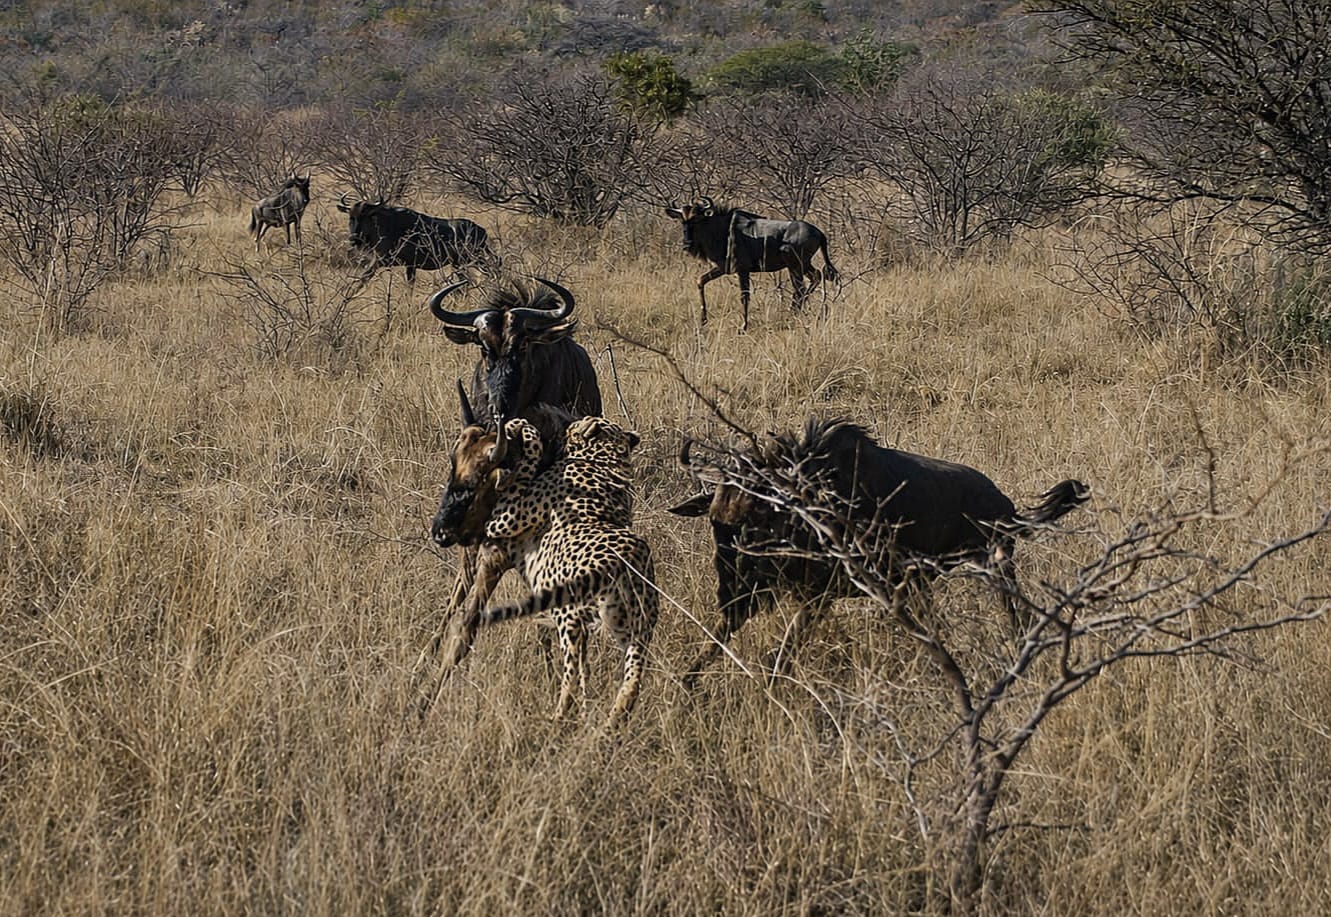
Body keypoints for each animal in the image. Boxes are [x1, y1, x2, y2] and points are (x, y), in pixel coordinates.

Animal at [480, 415, 658, 727]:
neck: (605, 459)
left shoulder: (504, 518)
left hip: (569, 617)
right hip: (635, 630)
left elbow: (525, 468)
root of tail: (628, 560)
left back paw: (558, 718)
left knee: (572, 675)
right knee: (626, 681)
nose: (568, 425)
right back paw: (605, 720)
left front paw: (521, 427)